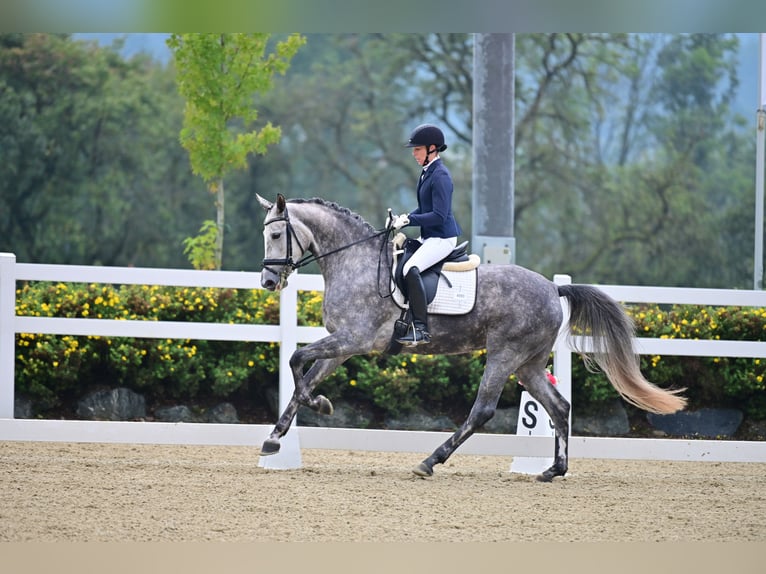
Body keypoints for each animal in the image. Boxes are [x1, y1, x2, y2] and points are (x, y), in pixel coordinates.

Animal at [255, 196, 688, 484]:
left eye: (276, 233)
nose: (268, 282)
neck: (355, 262)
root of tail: (553, 288)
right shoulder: (343, 343)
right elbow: (305, 376)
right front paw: (275, 439)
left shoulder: (353, 339)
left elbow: (296, 362)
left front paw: (320, 407)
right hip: (529, 364)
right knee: (559, 407)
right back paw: (553, 469)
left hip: (504, 354)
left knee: (482, 410)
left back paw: (430, 461)